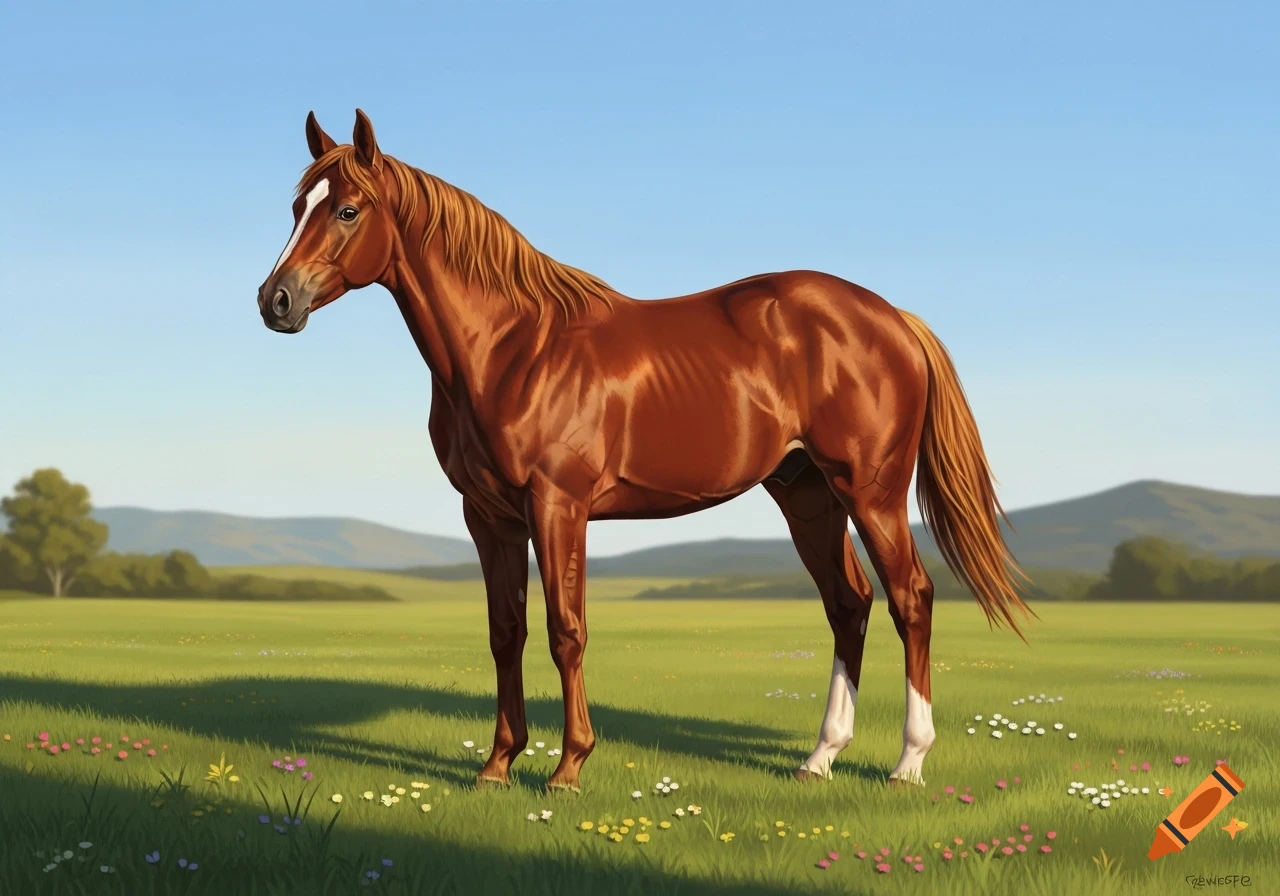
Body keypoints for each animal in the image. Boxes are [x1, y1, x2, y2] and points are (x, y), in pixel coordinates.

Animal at [255, 109, 1035, 793]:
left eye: (347, 210)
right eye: (297, 206)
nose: (275, 301)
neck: (511, 349)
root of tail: (892, 318)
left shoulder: (558, 506)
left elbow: (565, 630)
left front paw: (568, 768)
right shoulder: (489, 516)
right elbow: (506, 632)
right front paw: (497, 766)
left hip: (869, 491)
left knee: (911, 597)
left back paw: (908, 763)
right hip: (808, 493)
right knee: (849, 603)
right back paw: (819, 759)